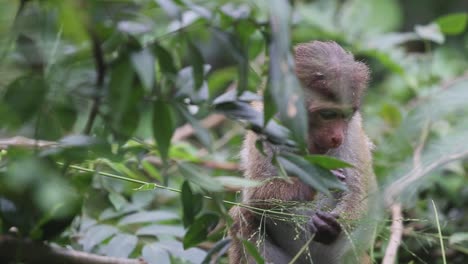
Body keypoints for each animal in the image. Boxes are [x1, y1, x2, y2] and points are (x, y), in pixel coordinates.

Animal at [227, 40, 376, 262]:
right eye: (327, 115)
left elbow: (359, 194)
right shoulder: (263, 123)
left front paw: (331, 225)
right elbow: (256, 195)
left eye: (346, 115)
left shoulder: (353, 131)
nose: (337, 137)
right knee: (243, 215)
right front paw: (316, 180)